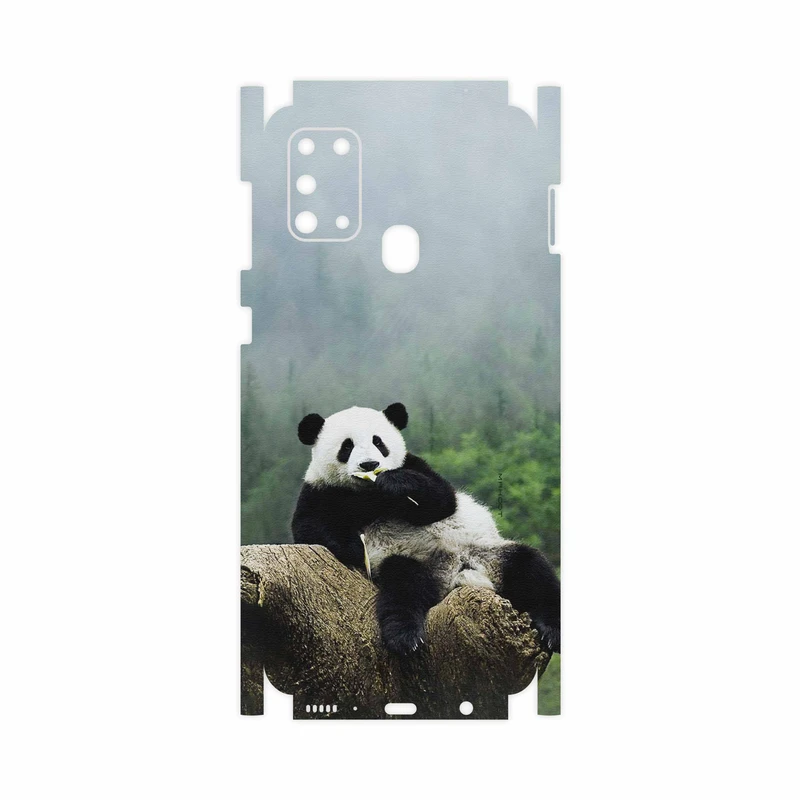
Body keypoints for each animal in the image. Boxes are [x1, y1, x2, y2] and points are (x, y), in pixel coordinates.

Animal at [292, 403, 561, 655]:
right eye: (347, 446)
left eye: (378, 442)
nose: (370, 464)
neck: (368, 494)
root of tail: (458, 573)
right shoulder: (321, 491)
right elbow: (309, 528)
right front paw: (355, 547)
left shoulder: (415, 465)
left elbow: (442, 500)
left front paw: (394, 483)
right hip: (413, 561)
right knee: (403, 587)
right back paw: (405, 637)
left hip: (489, 553)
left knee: (532, 569)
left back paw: (552, 631)